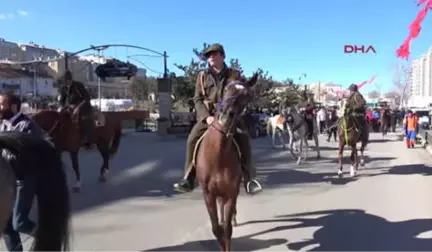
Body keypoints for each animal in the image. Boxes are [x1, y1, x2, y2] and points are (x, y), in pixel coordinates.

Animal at [194, 73, 258, 252]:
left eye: (247, 96)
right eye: (227, 89)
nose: (226, 116)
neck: (217, 156)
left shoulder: (231, 192)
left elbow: (227, 229)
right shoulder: (208, 195)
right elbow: (217, 229)